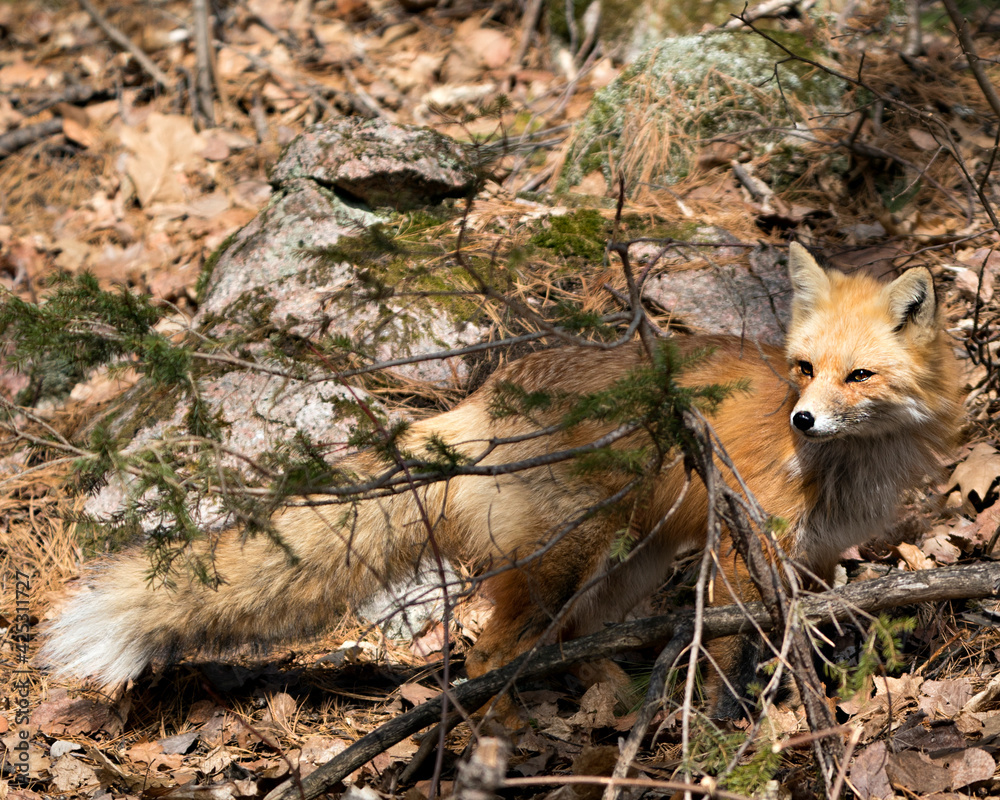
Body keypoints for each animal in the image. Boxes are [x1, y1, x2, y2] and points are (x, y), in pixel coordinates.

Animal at [40, 243, 960, 714]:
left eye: (858, 377)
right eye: (804, 370)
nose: (802, 421)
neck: (850, 466)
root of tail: (483, 397)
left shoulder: (809, 555)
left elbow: (805, 633)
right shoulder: (743, 553)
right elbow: (734, 652)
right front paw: (728, 720)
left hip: (622, 569)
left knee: (557, 645)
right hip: (571, 558)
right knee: (489, 653)